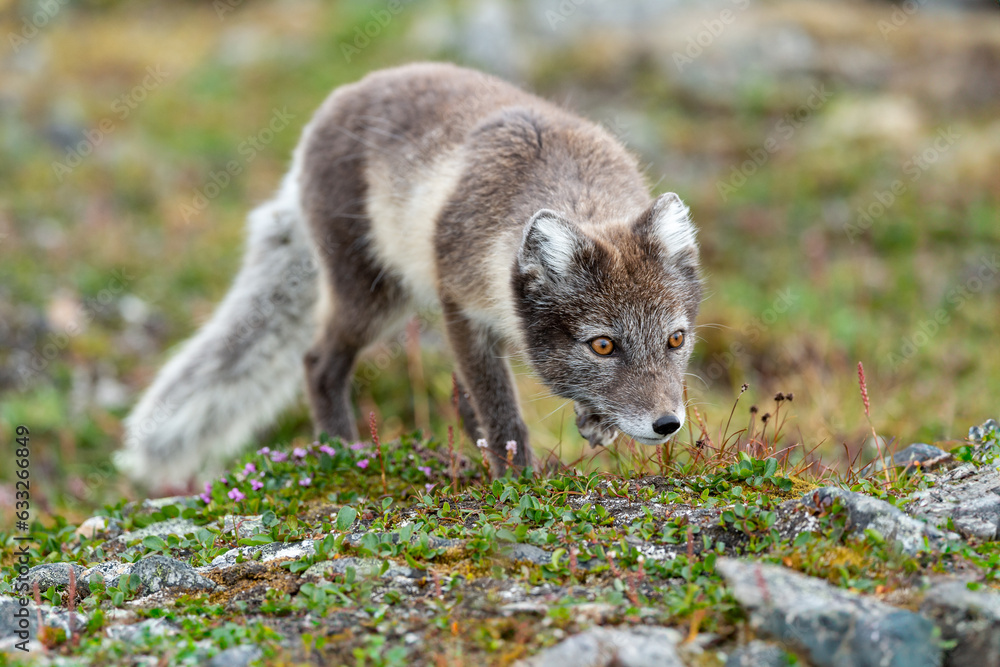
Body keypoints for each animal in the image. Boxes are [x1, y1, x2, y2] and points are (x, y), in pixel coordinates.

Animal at [118, 62, 702, 489]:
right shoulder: (461, 308)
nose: (667, 424)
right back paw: (343, 453)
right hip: (372, 297)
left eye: (676, 340)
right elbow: (501, 412)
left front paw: (591, 422)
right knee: (318, 363)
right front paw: (518, 484)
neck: (573, 189)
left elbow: (487, 400)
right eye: (603, 345)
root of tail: (337, 101)